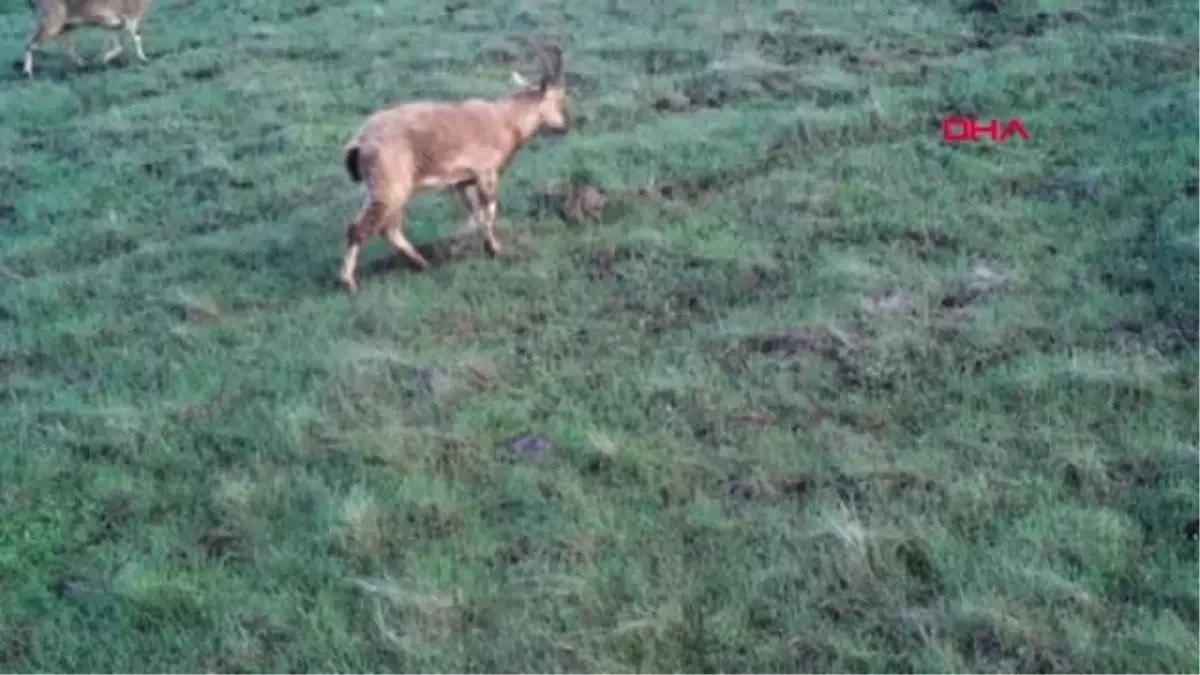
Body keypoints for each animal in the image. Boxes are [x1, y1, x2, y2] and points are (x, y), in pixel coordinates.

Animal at [23, 0, 153, 76]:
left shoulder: (113, 25)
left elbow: (118, 46)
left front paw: (102, 60)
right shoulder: (131, 17)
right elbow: (136, 37)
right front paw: (144, 59)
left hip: (66, 26)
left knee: (68, 48)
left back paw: (83, 65)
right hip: (52, 23)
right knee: (30, 43)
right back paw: (27, 72)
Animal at [338, 43, 571, 290]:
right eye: (559, 99)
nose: (565, 125)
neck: (505, 120)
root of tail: (360, 142)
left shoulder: (463, 181)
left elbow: (476, 213)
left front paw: (466, 246)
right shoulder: (486, 174)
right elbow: (488, 212)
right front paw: (492, 249)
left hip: (387, 189)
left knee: (389, 229)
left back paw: (422, 263)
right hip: (389, 188)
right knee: (358, 228)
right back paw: (348, 282)